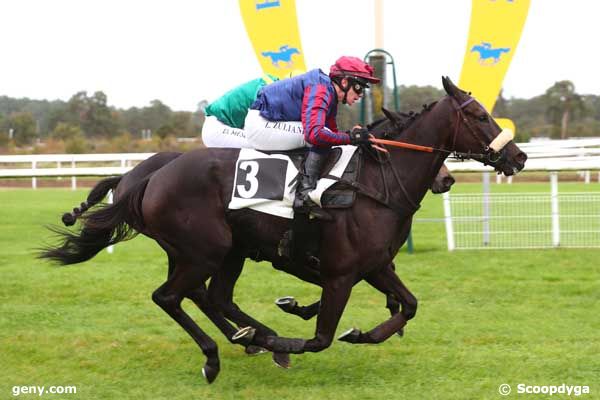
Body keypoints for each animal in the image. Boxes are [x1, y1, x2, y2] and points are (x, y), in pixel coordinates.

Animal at [41, 76, 524, 384]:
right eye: (479, 114)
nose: (517, 157)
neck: (376, 183)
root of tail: (148, 175)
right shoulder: (341, 275)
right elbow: (321, 338)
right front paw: (293, 337)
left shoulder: (376, 266)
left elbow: (408, 305)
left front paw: (363, 333)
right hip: (206, 249)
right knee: (170, 296)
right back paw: (223, 354)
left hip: (220, 251)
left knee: (211, 296)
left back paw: (251, 337)